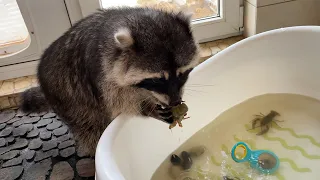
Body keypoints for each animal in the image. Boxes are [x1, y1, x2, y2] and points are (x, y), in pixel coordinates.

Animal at [20, 7, 199, 155]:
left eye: (182, 74)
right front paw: (146, 107)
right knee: (91, 128)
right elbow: (118, 101)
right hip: (69, 100)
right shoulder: (102, 71)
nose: (175, 102)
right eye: (158, 79)